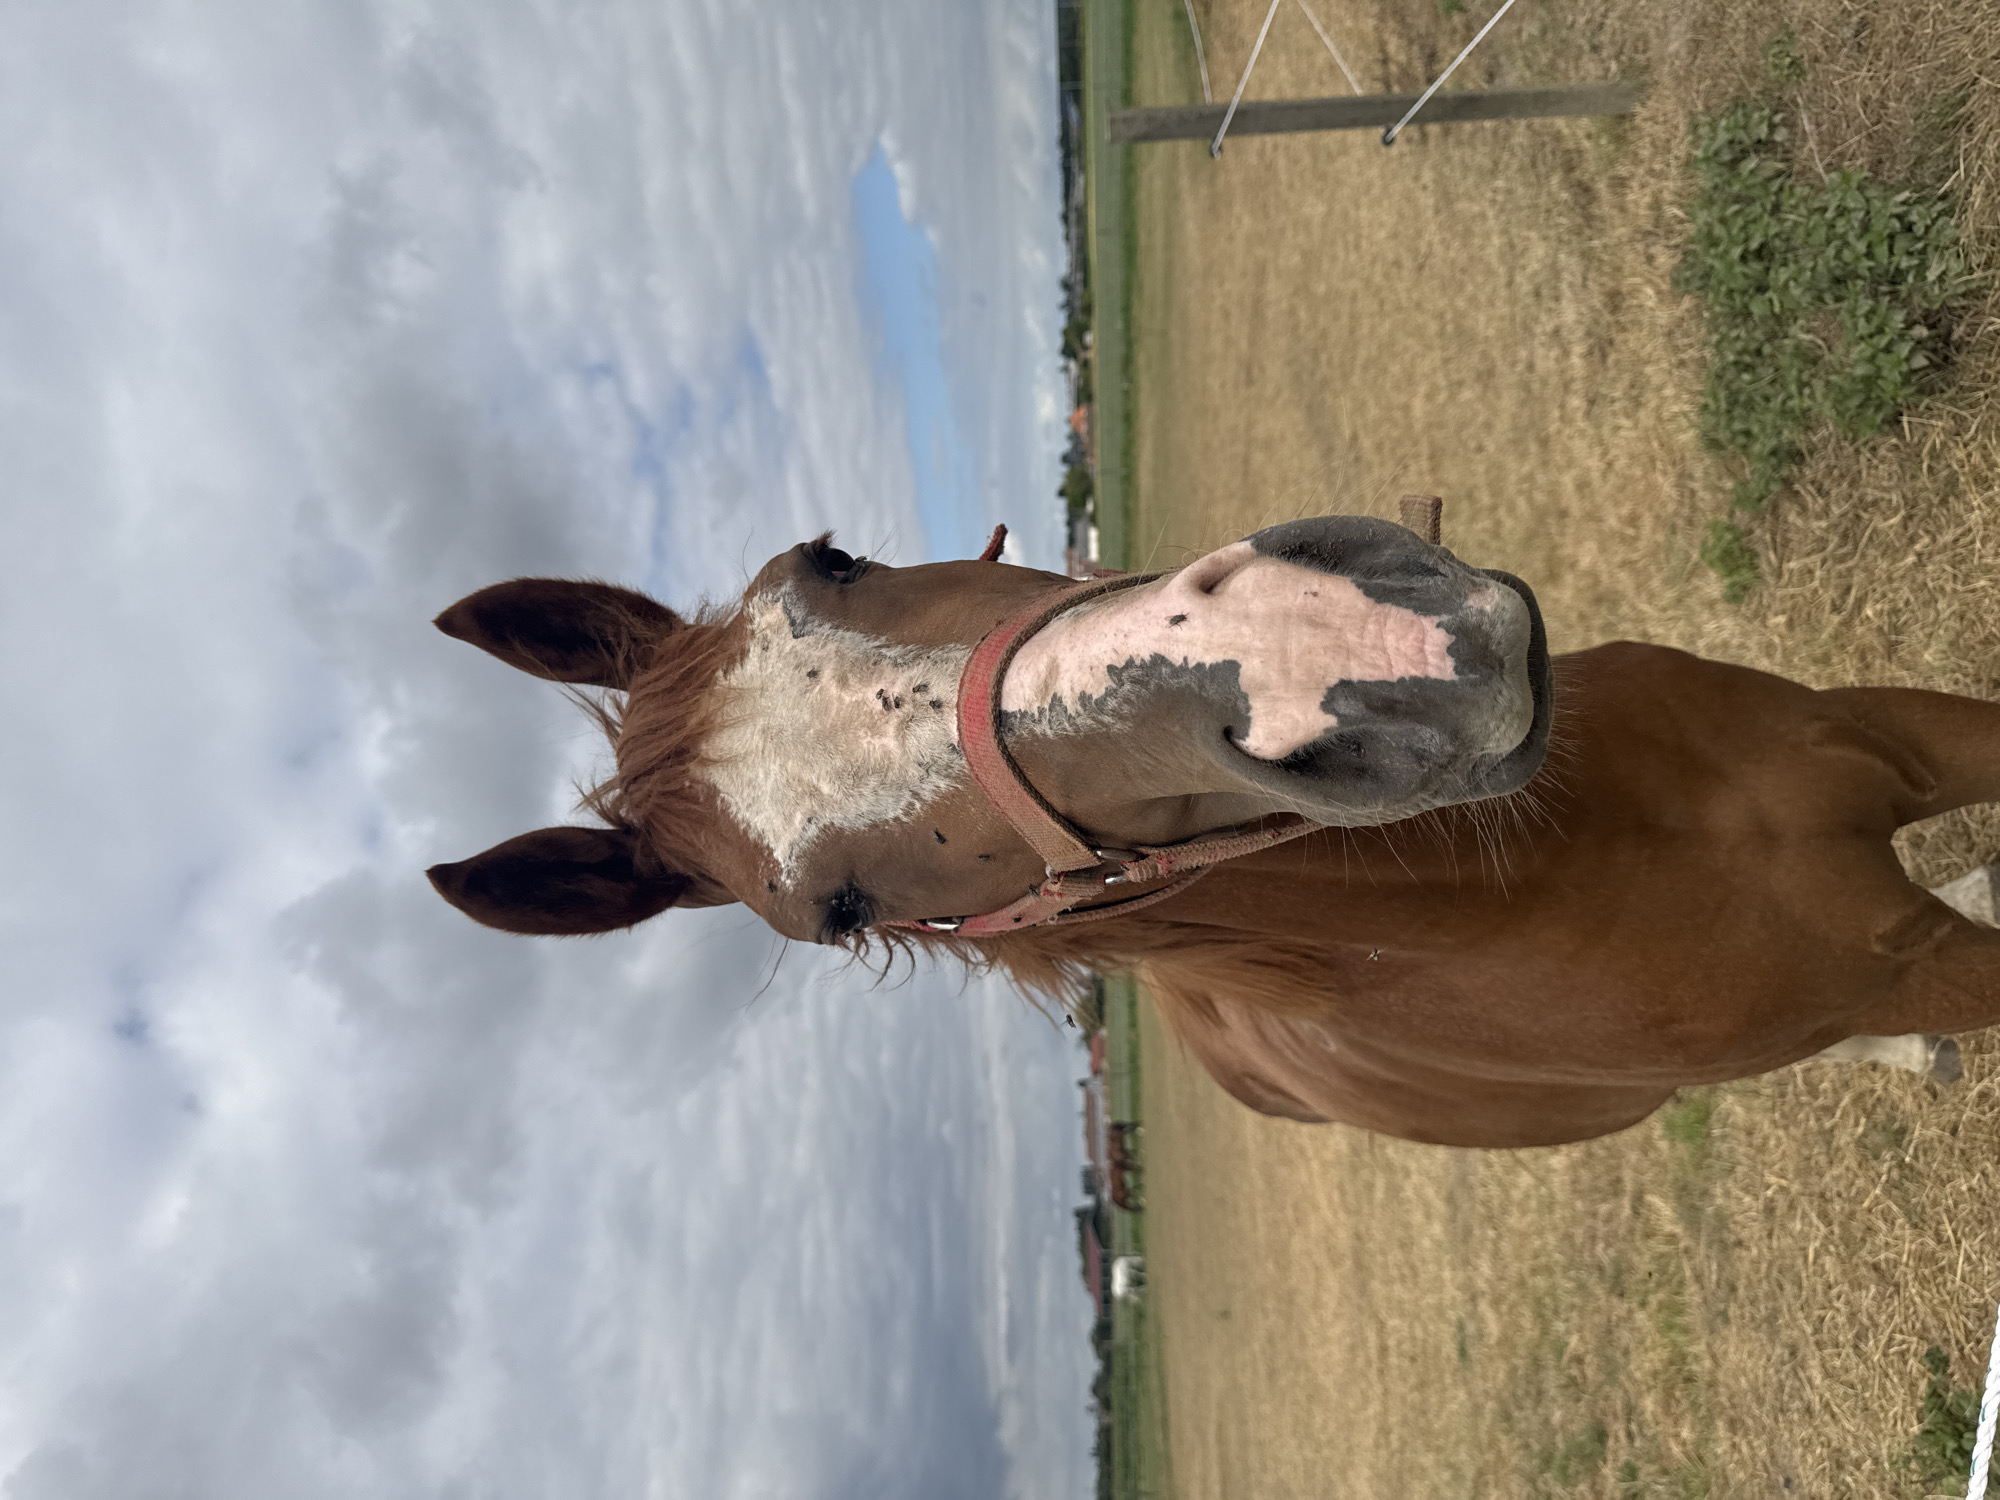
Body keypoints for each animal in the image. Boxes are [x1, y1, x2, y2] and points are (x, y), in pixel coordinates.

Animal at [425, 515, 2000, 1148]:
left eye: (833, 558)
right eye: (839, 914)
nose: (1315, 643)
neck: (1588, 858)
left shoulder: (1910, 738)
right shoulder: (1900, 961)